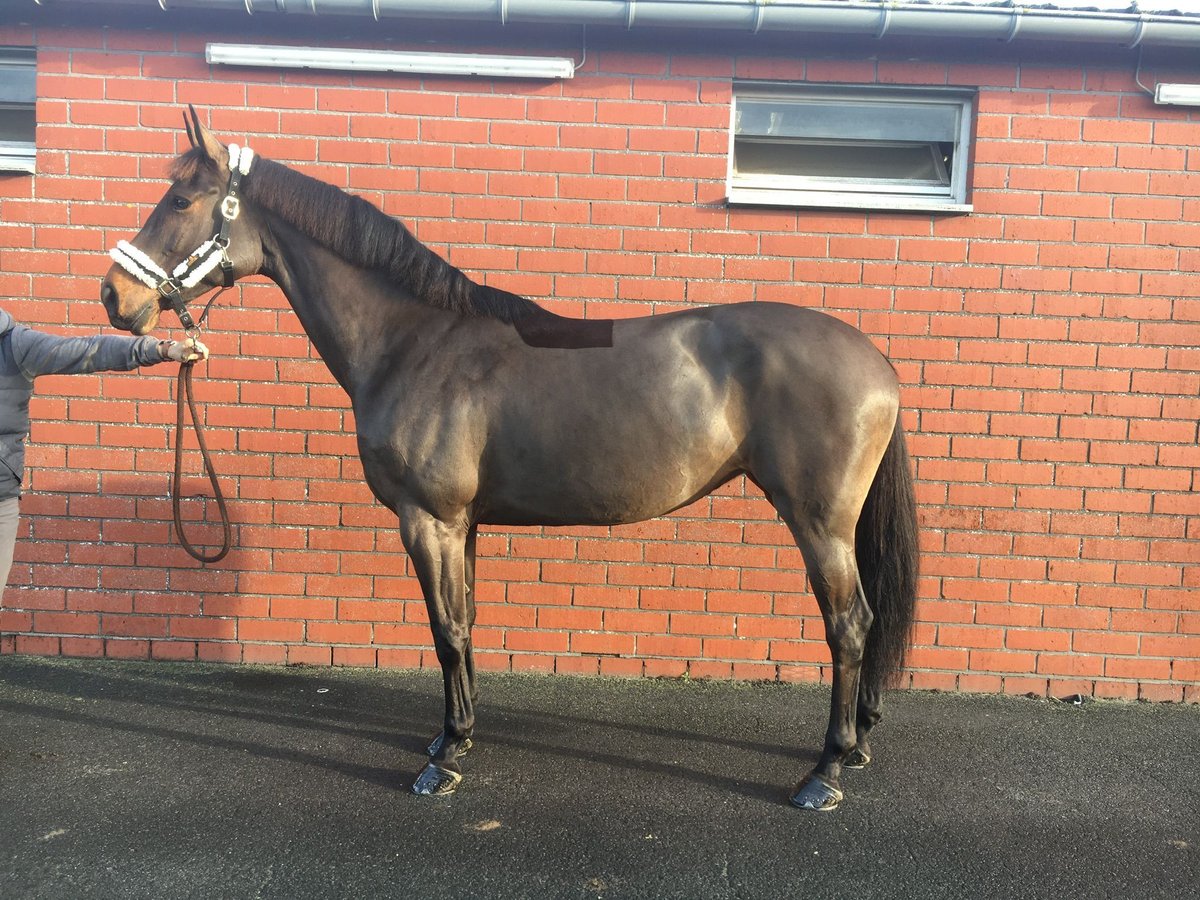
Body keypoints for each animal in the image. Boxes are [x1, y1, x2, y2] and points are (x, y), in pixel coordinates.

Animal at [103, 109, 916, 816]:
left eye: (180, 198)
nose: (115, 297)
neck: (413, 343)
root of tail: (876, 361)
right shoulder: (461, 524)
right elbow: (463, 622)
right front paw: (455, 735)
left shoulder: (427, 520)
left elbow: (444, 630)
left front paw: (444, 759)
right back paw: (859, 746)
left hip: (819, 523)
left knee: (849, 624)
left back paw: (824, 771)